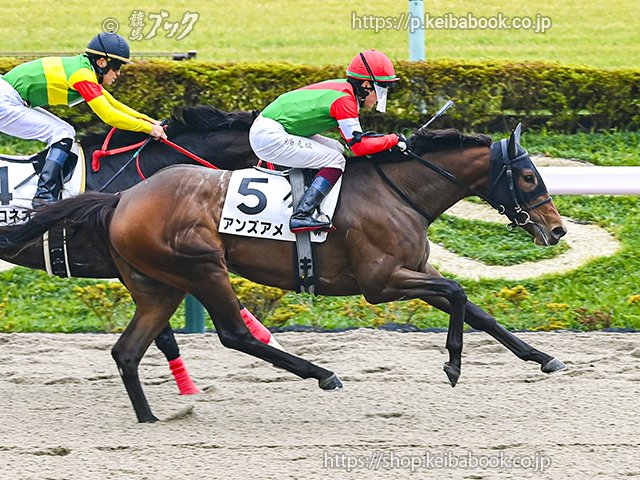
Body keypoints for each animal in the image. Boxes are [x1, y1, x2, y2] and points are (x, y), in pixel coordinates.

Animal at [0, 123, 568, 422]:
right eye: (527, 176)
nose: (557, 229)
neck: (397, 192)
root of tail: (123, 198)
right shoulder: (381, 282)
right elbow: (456, 292)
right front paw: (451, 364)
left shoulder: (410, 269)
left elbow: (475, 309)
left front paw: (543, 358)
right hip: (202, 267)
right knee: (233, 334)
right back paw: (323, 374)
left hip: (158, 285)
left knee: (128, 350)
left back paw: (149, 417)